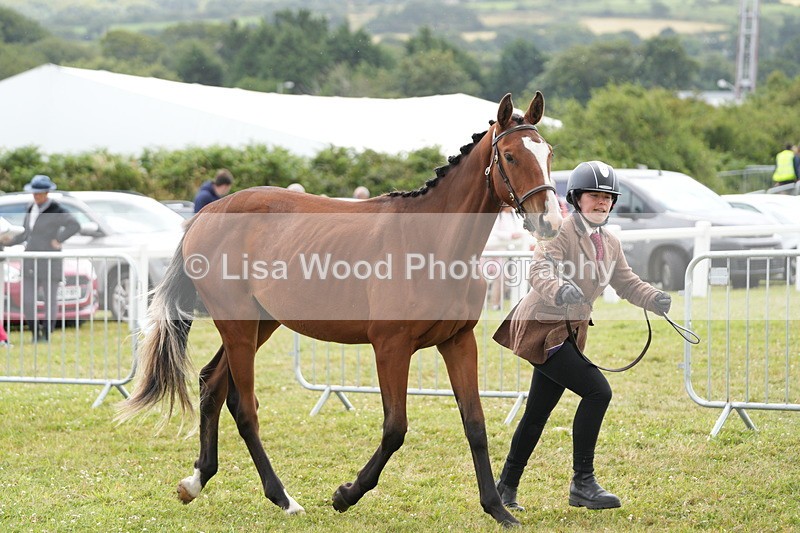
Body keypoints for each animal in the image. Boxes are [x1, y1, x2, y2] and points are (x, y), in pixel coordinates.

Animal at [119, 92, 562, 527]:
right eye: (510, 156)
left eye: (548, 153)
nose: (549, 222)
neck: (433, 243)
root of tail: (203, 216)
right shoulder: (390, 347)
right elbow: (395, 428)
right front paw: (345, 495)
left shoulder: (458, 342)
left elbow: (475, 424)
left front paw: (498, 508)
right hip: (238, 326)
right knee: (244, 408)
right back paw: (283, 499)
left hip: (259, 325)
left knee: (212, 385)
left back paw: (195, 481)